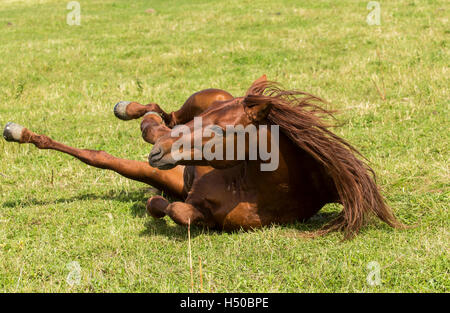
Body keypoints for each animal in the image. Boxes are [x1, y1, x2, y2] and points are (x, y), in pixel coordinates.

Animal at [2, 75, 404, 236]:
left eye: (223, 131)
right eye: (209, 123)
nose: (158, 154)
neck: (248, 186)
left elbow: (178, 211)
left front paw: (158, 206)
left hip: (166, 162)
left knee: (145, 132)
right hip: (200, 101)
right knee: (160, 118)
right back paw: (127, 110)